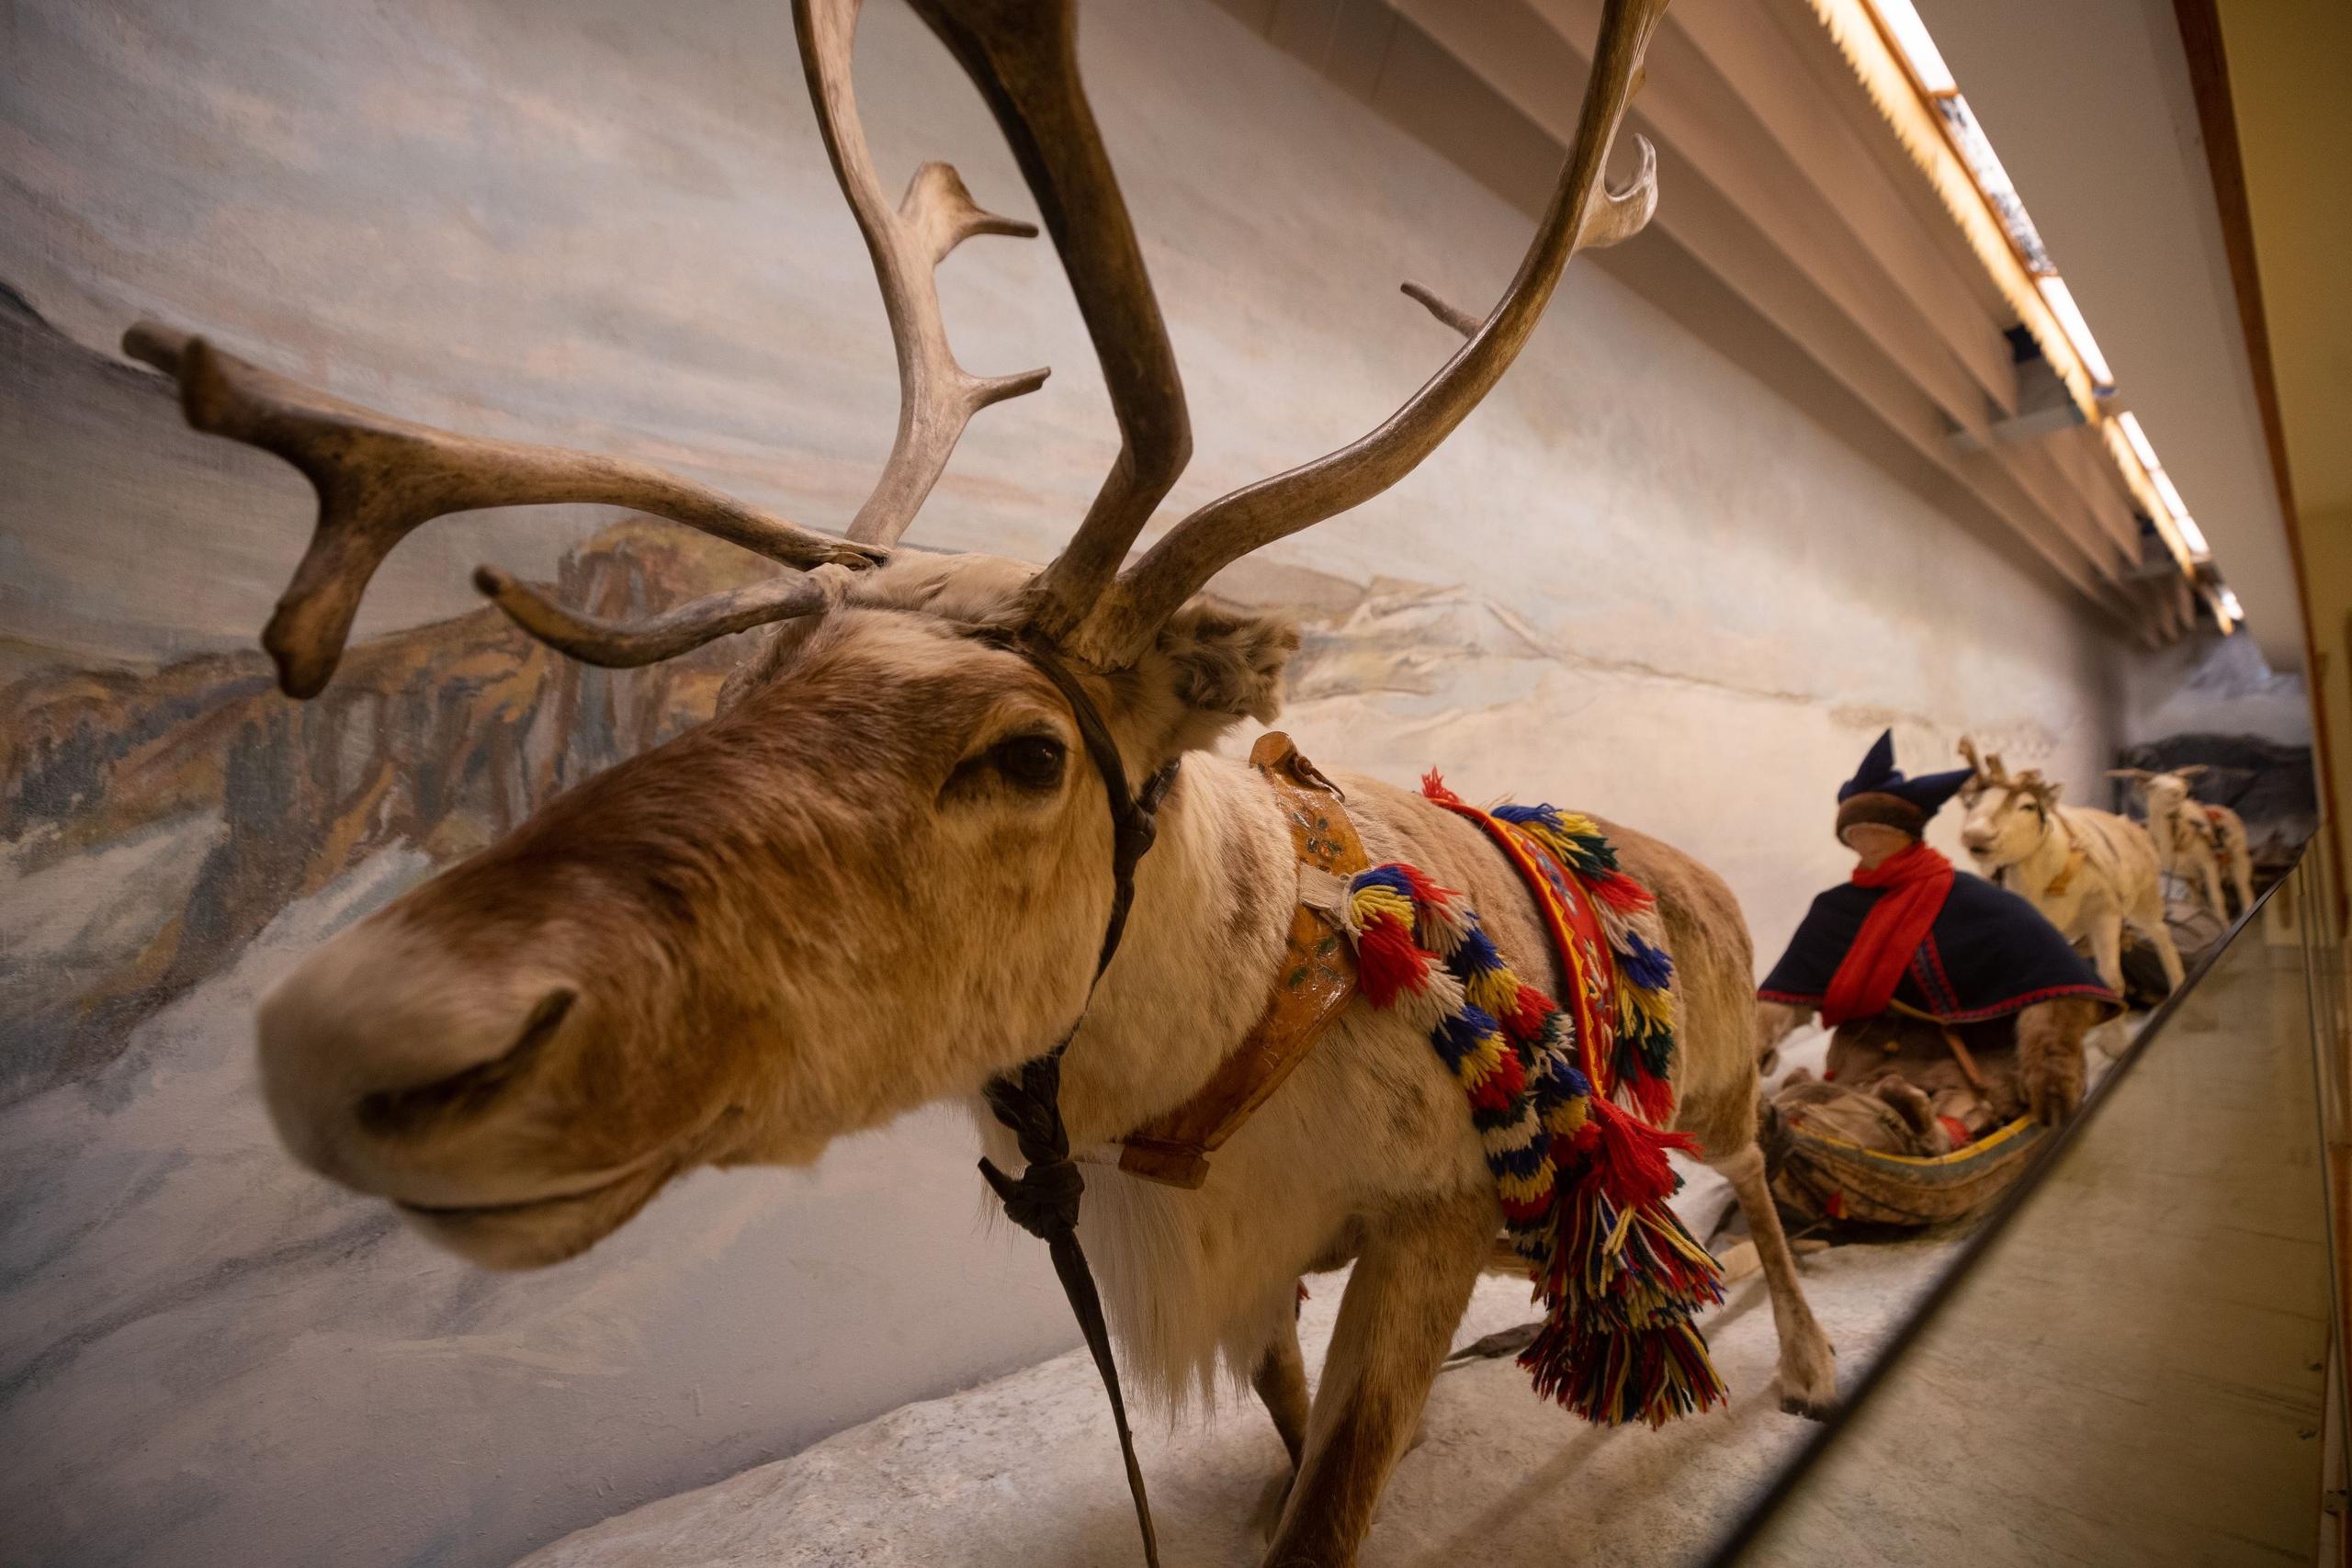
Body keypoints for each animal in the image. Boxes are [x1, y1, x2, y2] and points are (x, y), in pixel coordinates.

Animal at [121, 1, 1837, 1562]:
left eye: (1029, 750)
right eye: (749, 686)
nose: (372, 1032)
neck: (1227, 1029)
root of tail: (1699, 868)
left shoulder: (1430, 1224)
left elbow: (1333, 1504)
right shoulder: (1250, 1270)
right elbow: (1291, 1436)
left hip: (1715, 1082)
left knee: (1756, 1167)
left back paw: (1812, 1361)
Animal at [1956, 740, 2183, 998]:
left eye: (2028, 806)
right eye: (1971, 803)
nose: (1977, 834)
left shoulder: (2105, 910)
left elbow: (2112, 982)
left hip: (2144, 899)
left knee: (2160, 933)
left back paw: (2178, 985)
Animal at [2107, 765, 2256, 921]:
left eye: (2181, 782)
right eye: (2152, 786)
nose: (2178, 791)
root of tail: (2227, 810)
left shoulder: (2208, 863)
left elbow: (2217, 899)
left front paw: (2224, 924)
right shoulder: (2185, 874)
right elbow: (2195, 903)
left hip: (2239, 857)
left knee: (2244, 889)